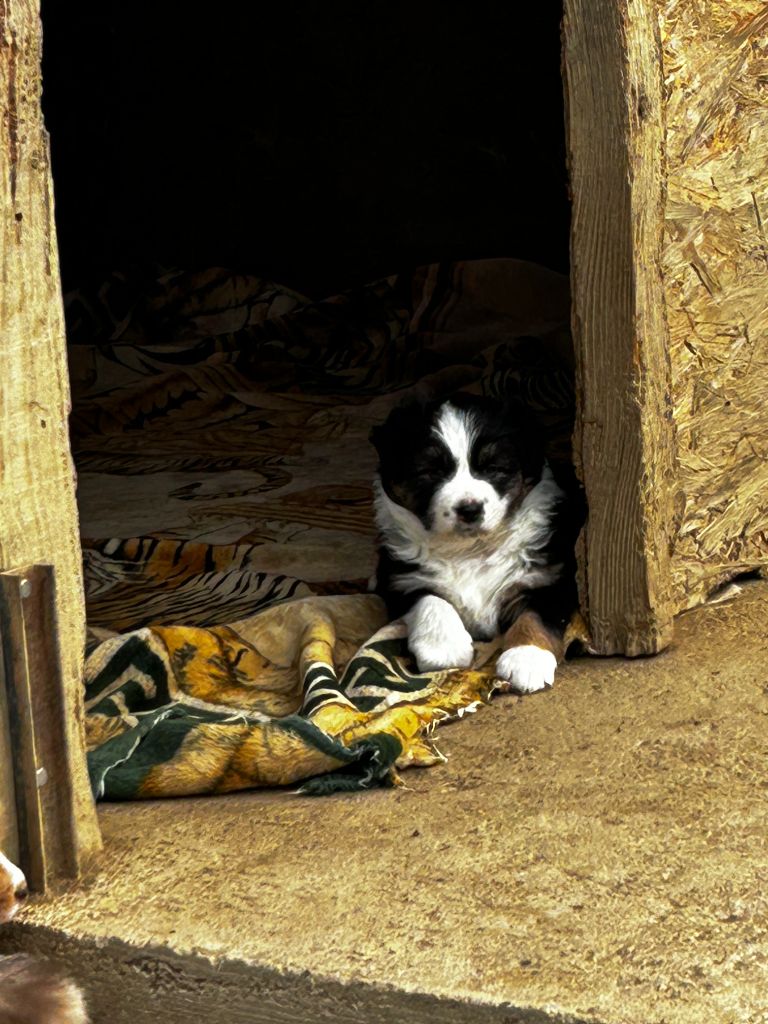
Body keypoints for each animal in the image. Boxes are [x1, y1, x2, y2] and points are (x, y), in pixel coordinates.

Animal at [370, 395, 581, 692]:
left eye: (493, 468)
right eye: (430, 472)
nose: (469, 509)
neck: (470, 550)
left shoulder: (550, 576)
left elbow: (535, 615)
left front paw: (526, 657)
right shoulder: (399, 577)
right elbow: (430, 599)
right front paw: (443, 649)